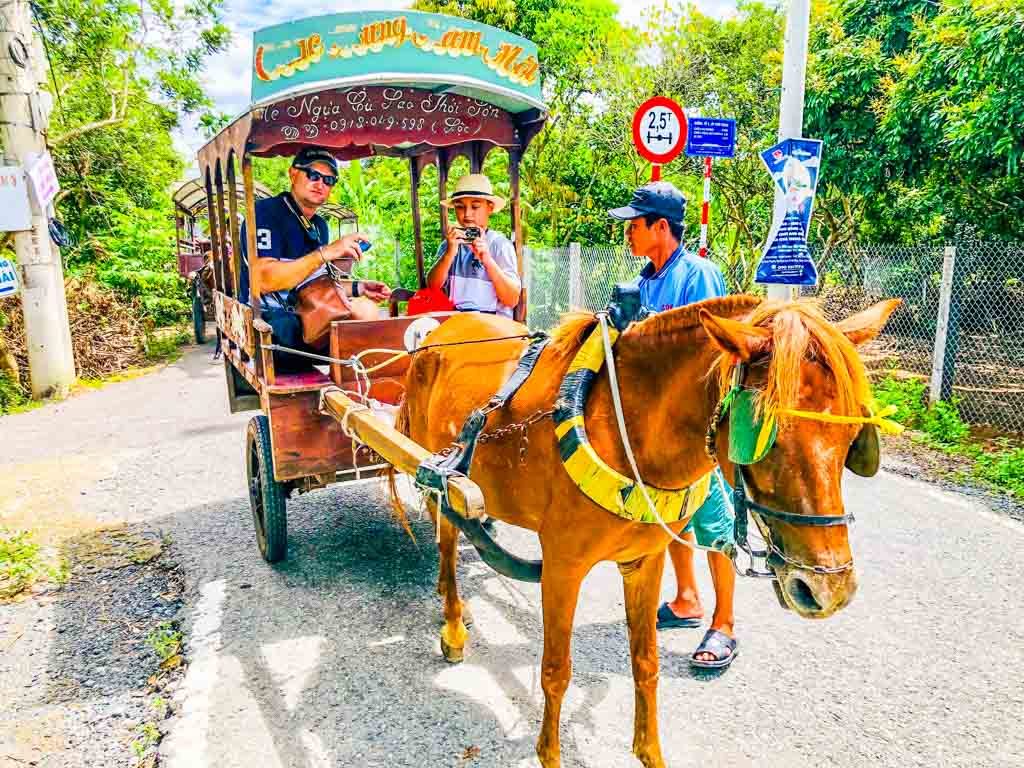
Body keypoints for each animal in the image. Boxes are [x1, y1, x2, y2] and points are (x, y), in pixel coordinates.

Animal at [389, 296, 897, 768]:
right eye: (763, 436)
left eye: (854, 439)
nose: (829, 590)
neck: (624, 428)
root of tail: (443, 329)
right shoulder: (562, 566)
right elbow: (556, 670)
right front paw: (550, 754)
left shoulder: (644, 562)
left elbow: (645, 662)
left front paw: (649, 751)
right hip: (439, 472)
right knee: (447, 542)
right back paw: (454, 622)